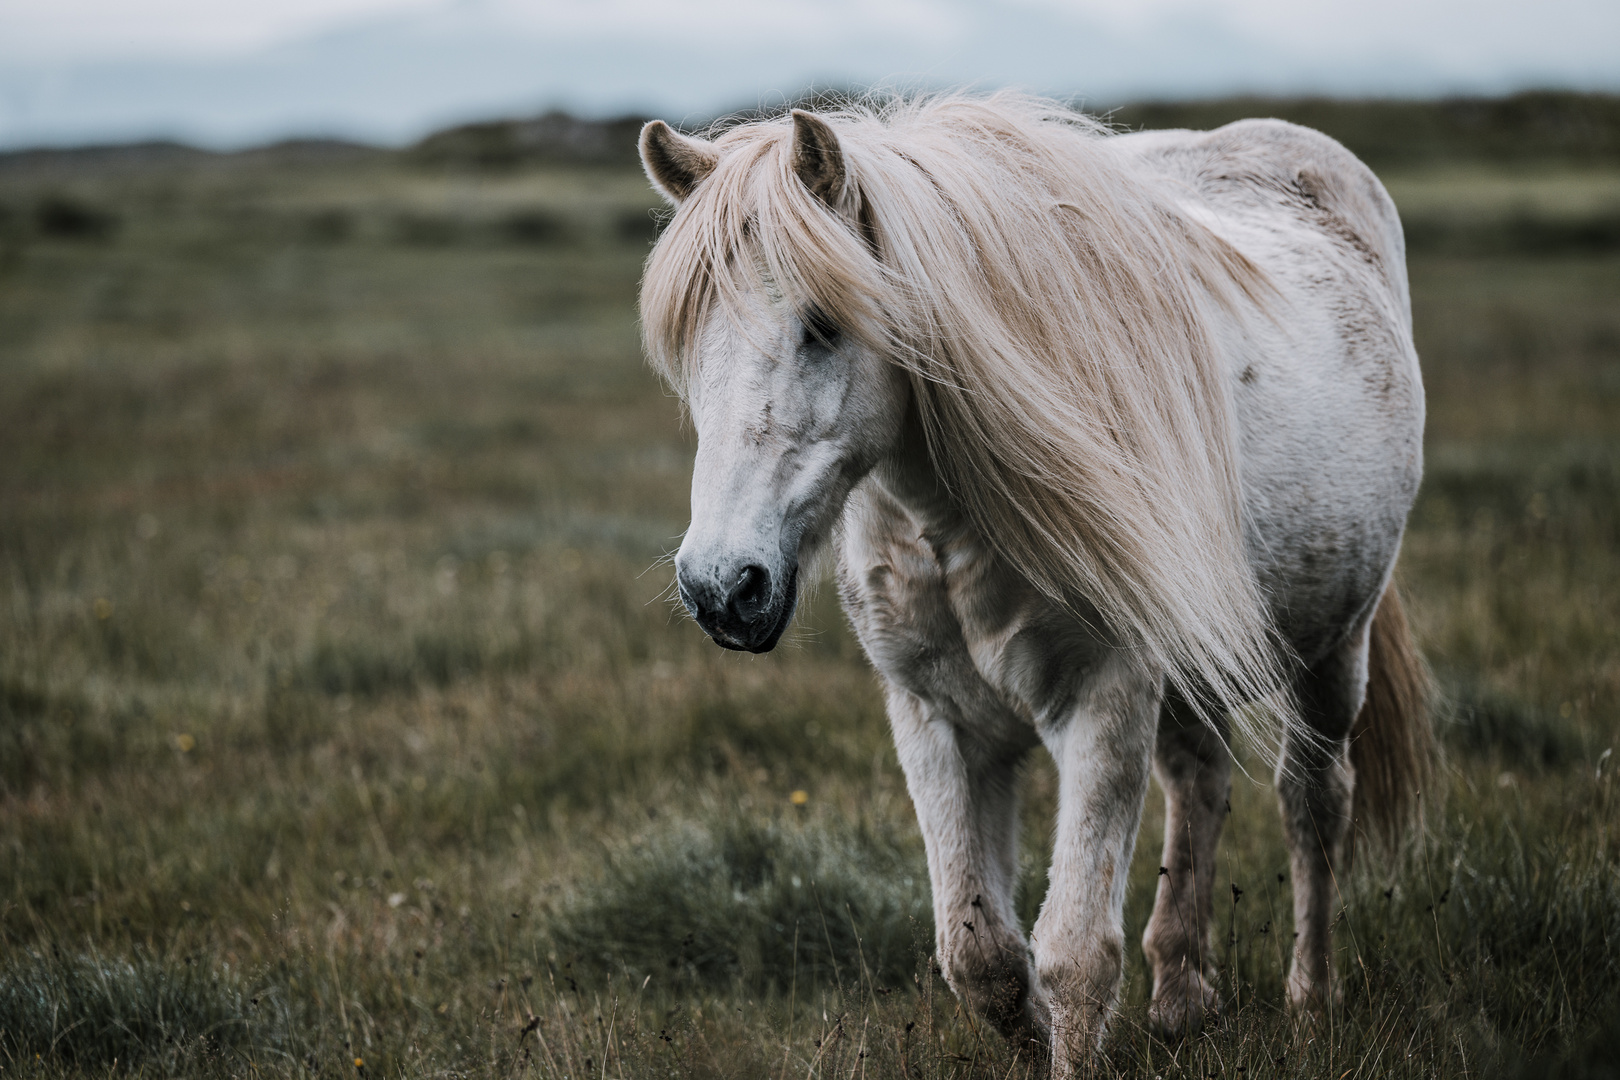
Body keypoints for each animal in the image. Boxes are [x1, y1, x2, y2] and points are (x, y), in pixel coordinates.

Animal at [631, 95, 1432, 1075]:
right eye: (689, 340)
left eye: (823, 325)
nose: (721, 587)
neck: (957, 520)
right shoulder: (936, 715)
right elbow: (981, 956)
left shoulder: (1105, 698)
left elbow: (1075, 954)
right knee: (1199, 780)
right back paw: (1182, 999)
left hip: (1333, 647)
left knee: (1314, 801)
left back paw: (1312, 1005)